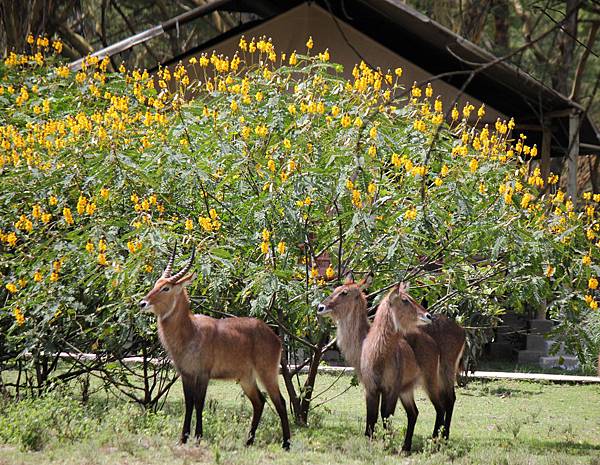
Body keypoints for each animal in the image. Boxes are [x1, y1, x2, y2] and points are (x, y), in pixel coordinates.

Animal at [141, 245, 290, 448]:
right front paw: (183, 438)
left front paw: (198, 437)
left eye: (166, 287)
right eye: (156, 283)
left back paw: (286, 444)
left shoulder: (203, 374)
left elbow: (199, 403)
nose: (142, 303)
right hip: (246, 378)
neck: (190, 331)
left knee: (280, 401)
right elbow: (188, 403)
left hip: (267, 373)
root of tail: (273, 335)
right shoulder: (186, 374)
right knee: (259, 402)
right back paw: (248, 441)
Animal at [318, 276, 464, 450]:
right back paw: (409, 446)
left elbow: (386, 415)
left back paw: (437, 442)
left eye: (344, 292)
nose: (320, 307)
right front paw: (372, 442)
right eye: (337, 289)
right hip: (410, 388)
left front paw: (386, 443)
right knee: (416, 412)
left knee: (443, 404)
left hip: (435, 378)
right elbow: (372, 417)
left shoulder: (392, 388)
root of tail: (462, 330)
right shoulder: (371, 387)